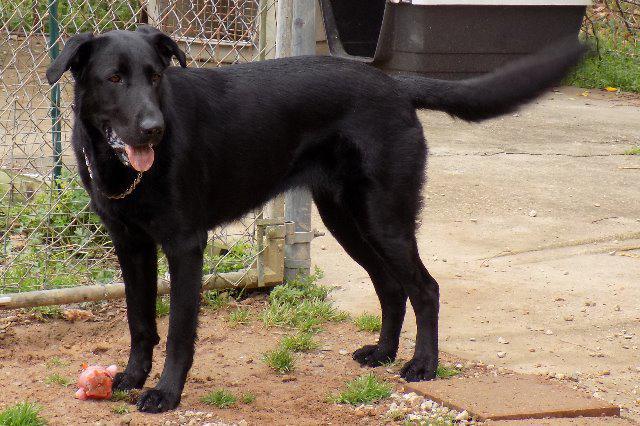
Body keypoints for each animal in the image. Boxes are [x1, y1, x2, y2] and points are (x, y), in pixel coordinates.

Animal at [45, 27, 584, 412]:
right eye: (114, 78)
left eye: (155, 76)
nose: (154, 130)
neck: (126, 171)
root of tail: (393, 83)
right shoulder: (130, 245)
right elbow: (140, 321)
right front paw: (131, 378)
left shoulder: (184, 245)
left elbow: (178, 328)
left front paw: (165, 393)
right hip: (347, 219)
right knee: (391, 286)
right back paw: (383, 353)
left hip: (384, 216)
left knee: (425, 288)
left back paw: (421, 365)